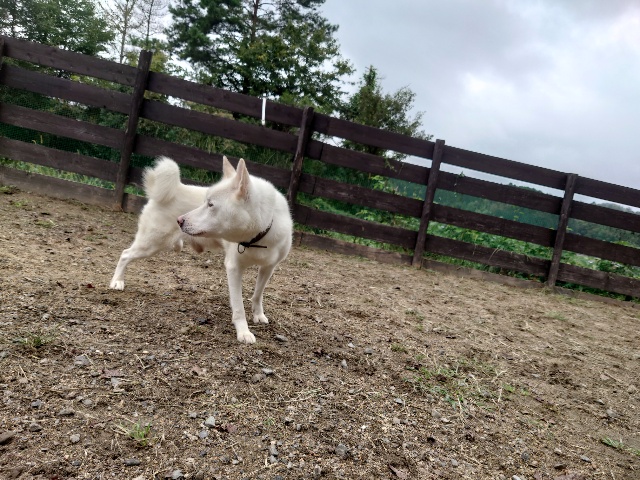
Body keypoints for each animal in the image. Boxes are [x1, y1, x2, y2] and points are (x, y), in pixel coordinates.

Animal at [110, 156, 293, 344]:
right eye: (206, 201)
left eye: (210, 204)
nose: (179, 220)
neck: (259, 236)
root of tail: (174, 188)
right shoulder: (234, 268)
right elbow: (238, 306)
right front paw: (243, 331)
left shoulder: (268, 267)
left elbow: (258, 294)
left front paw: (258, 315)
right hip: (151, 243)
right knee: (125, 254)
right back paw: (117, 281)